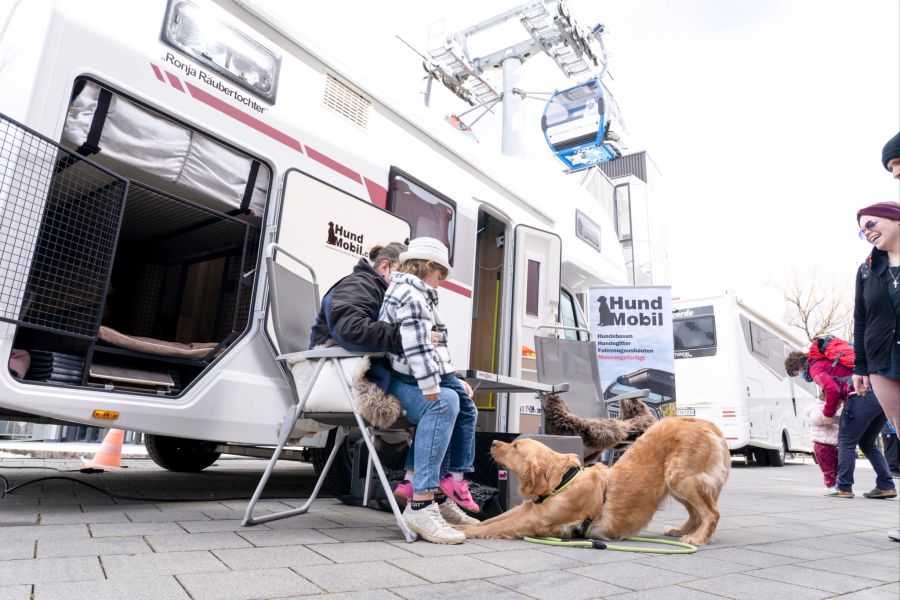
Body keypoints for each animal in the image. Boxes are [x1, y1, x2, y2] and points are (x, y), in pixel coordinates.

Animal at [460, 420, 728, 548]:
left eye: (515, 446)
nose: (493, 441)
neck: (560, 482)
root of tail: (706, 423)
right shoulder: (524, 509)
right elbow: (490, 521)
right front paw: (461, 523)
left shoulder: (531, 520)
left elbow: (492, 526)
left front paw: (462, 531)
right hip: (675, 483)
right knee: (696, 514)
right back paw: (681, 531)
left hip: (680, 478)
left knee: (711, 513)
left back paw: (697, 538)